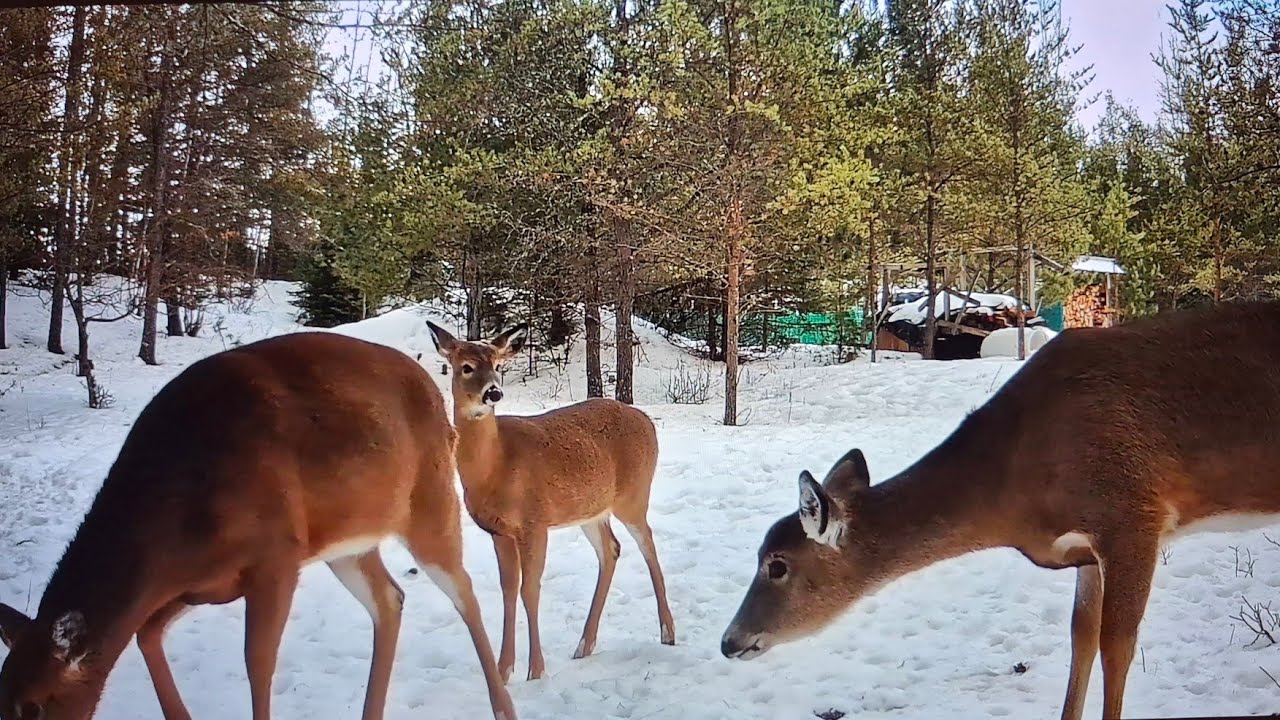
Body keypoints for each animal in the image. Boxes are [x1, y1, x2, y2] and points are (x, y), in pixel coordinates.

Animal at [0, 331, 517, 720]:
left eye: (35, 706)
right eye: (3, 697)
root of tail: (429, 383)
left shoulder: (276, 555)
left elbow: (258, 663)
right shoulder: (195, 584)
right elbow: (146, 635)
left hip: (428, 502)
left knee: (464, 590)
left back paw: (503, 705)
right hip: (348, 542)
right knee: (390, 599)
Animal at [425, 320, 676, 683]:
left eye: (498, 365)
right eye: (466, 367)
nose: (493, 393)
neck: (495, 467)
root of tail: (646, 420)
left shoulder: (535, 522)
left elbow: (530, 590)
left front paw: (535, 670)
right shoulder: (499, 531)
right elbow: (508, 591)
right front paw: (504, 669)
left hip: (634, 494)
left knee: (648, 545)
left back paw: (667, 632)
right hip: (591, 510)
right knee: (611, 549)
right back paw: (584, 644)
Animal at [720, 301, 1280, 720]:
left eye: (776, 565)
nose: (729, 641)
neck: (1016, 495)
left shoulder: (1133, 513)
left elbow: (1117, 646)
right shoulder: (1086, 549)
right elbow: (1081, 637)